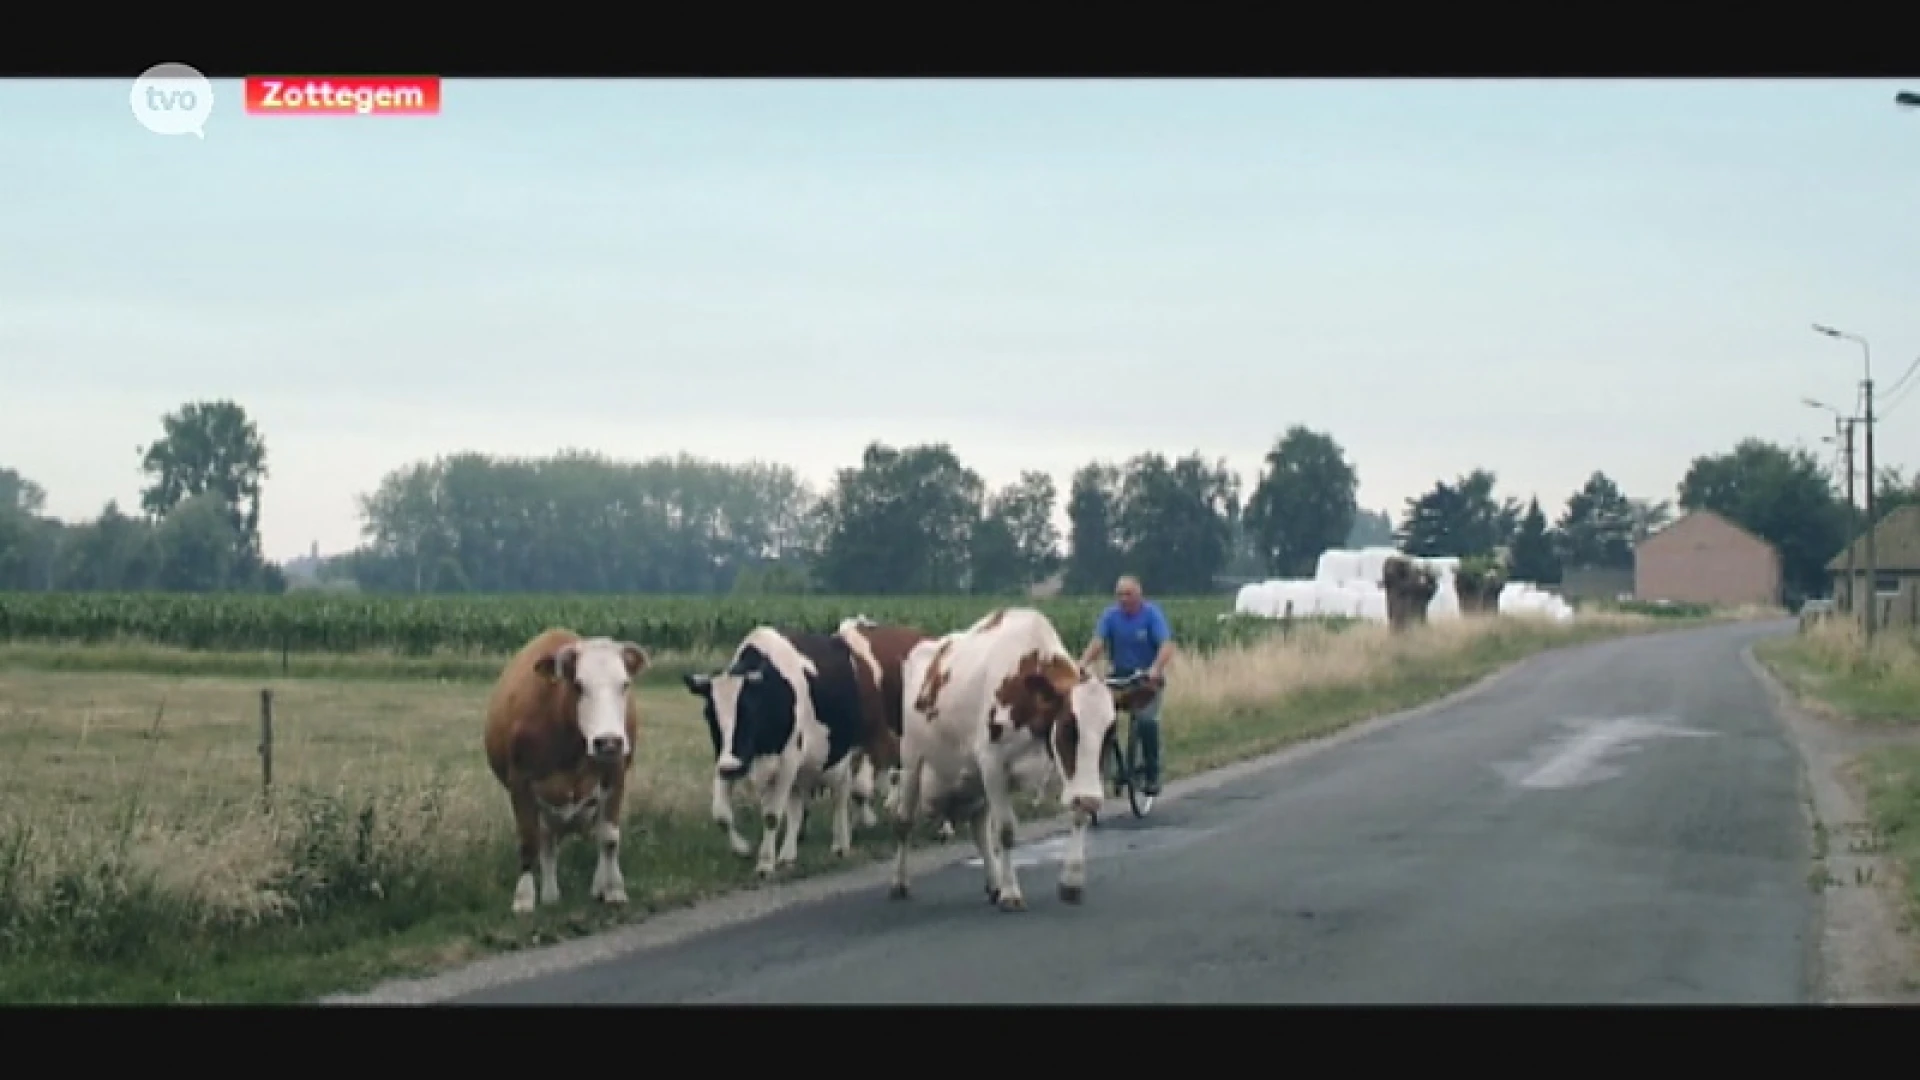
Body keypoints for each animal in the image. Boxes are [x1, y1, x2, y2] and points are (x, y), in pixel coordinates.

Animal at [483, 626, 648, 910]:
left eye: (624, 684)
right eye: (579, 685)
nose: (608, 741)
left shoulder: (615, 775)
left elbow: (609, 837)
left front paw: (613, 889)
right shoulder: (520, 784)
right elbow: (529, 842)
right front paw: (524, 899)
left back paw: (600, 885)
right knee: (548, 843)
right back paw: (550, 894)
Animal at [683, 622, 871, 876]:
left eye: (749, 711)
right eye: (709, 715)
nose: (731, 768)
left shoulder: (787, 761)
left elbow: (771, 815)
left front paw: (765, 863)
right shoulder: (728, 758)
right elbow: (721, 814)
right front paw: (743, 849)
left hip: (839, 757)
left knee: (840, 795)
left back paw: (841, 844)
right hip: (799, 771)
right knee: (797, 806)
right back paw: (788, 854)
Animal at [887, 607, 1121, 907]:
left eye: (1110, 733)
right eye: (1069, 727)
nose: (1092, 799)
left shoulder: (1067, 769)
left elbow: (1078, 812)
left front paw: (1071, 882)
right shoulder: (993, 765)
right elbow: (1006, 830)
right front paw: (1011, 893)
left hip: (972, 779)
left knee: (979, 829)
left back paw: (994, 882)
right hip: (912, 762)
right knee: (903, 822)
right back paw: (899, 881)